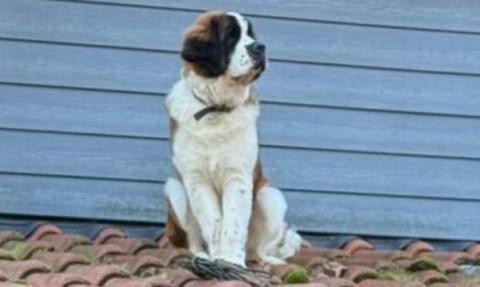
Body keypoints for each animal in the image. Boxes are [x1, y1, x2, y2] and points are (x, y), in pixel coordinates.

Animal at [163, 11, 302, 268]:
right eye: (231, 37)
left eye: (250, 34)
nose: (260, 47)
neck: (216, 108)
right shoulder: (197, 181)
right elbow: (214, 223)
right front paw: (219, 260)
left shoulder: (238, 177)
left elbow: (233, 224)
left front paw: (232, 262)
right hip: (175, 190)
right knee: (193, 241)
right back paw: (202, 256)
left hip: (270, 197)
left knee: (257, 249)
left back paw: (267, 260)